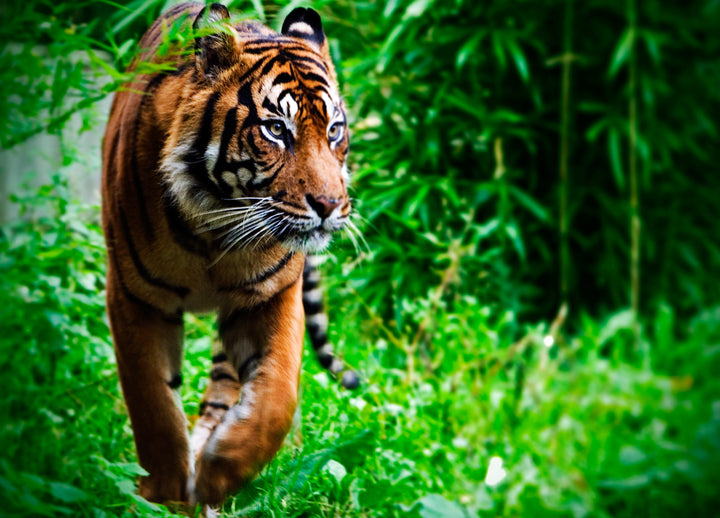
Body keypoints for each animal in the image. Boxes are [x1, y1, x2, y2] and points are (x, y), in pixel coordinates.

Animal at [101, 2, 358, 508]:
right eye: (276, 129)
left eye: (334, 130)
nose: (330, 205)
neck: (215, 231)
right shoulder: (135, 297)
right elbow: (152, 402)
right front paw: (163, 495)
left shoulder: (272, 296)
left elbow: (276, 396)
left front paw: (220, 472)